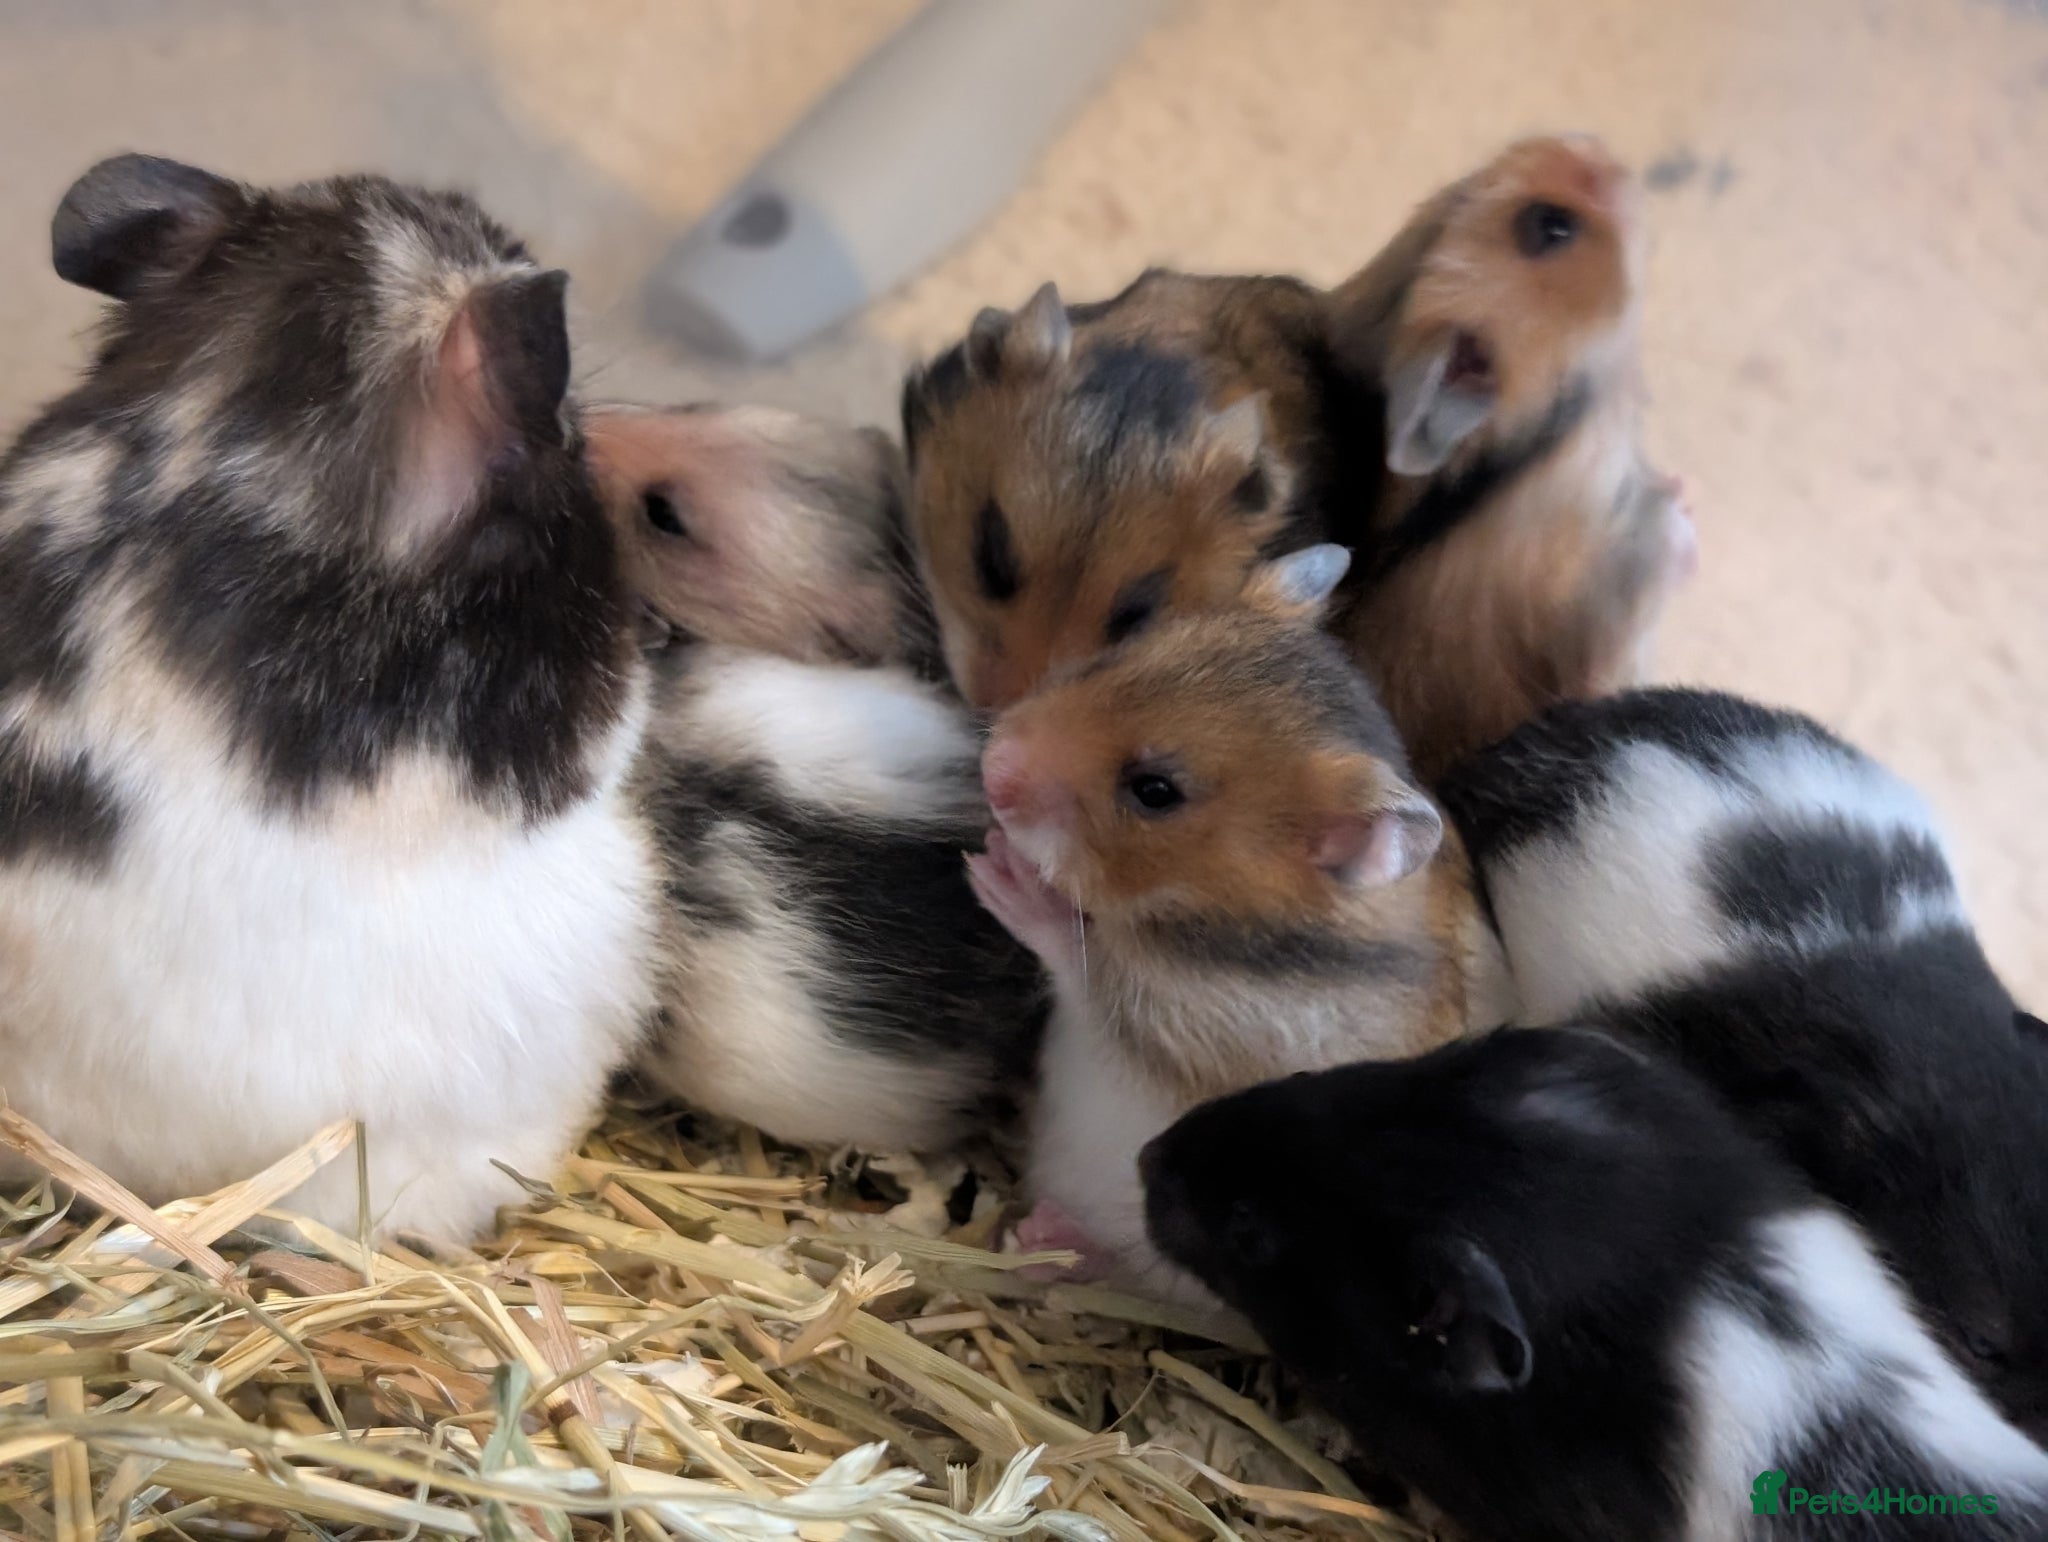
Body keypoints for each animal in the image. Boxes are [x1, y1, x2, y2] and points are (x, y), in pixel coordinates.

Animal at [966, 544, 1511, 1301]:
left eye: (1155, 791)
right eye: (1116, 655)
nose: (993, 766)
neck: (1211, 927)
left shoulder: (1197, 1023)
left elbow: (1085, 964)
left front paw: (999, 871)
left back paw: (1048, 1243)